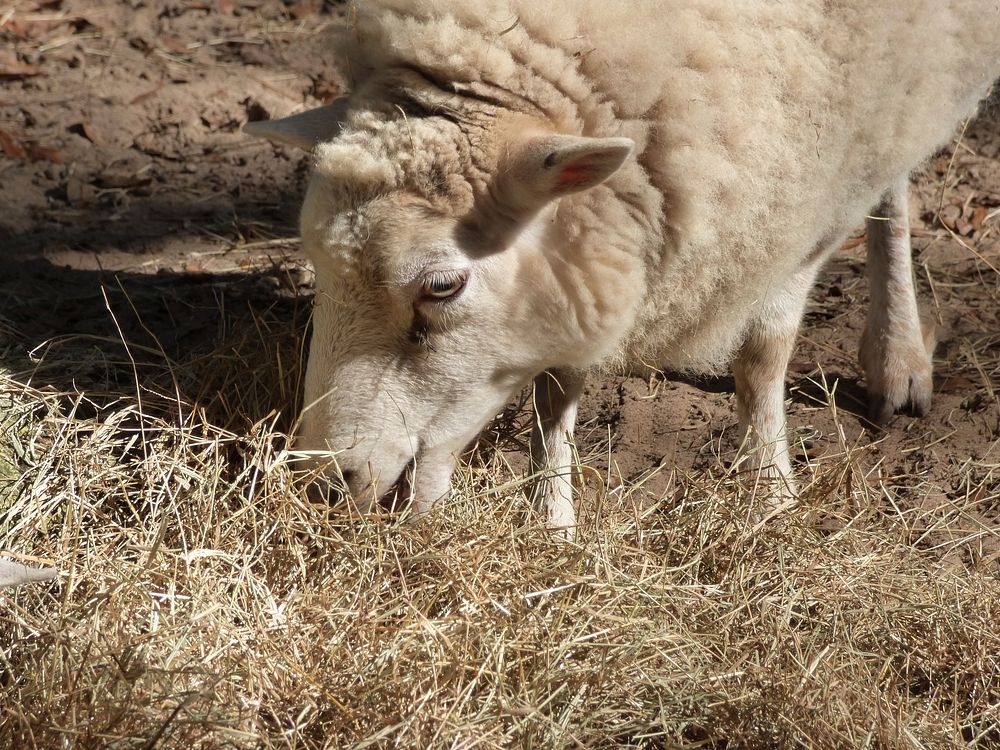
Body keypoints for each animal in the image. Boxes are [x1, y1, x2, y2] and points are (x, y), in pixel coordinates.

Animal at [246, 1, 1000, 540]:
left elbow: (762, 353)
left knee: (895, 179)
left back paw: (897, 356)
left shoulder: (807, 182)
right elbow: (559, 384)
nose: (322, 480)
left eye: (443, 286)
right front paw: (551, 525)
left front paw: (771, 497)